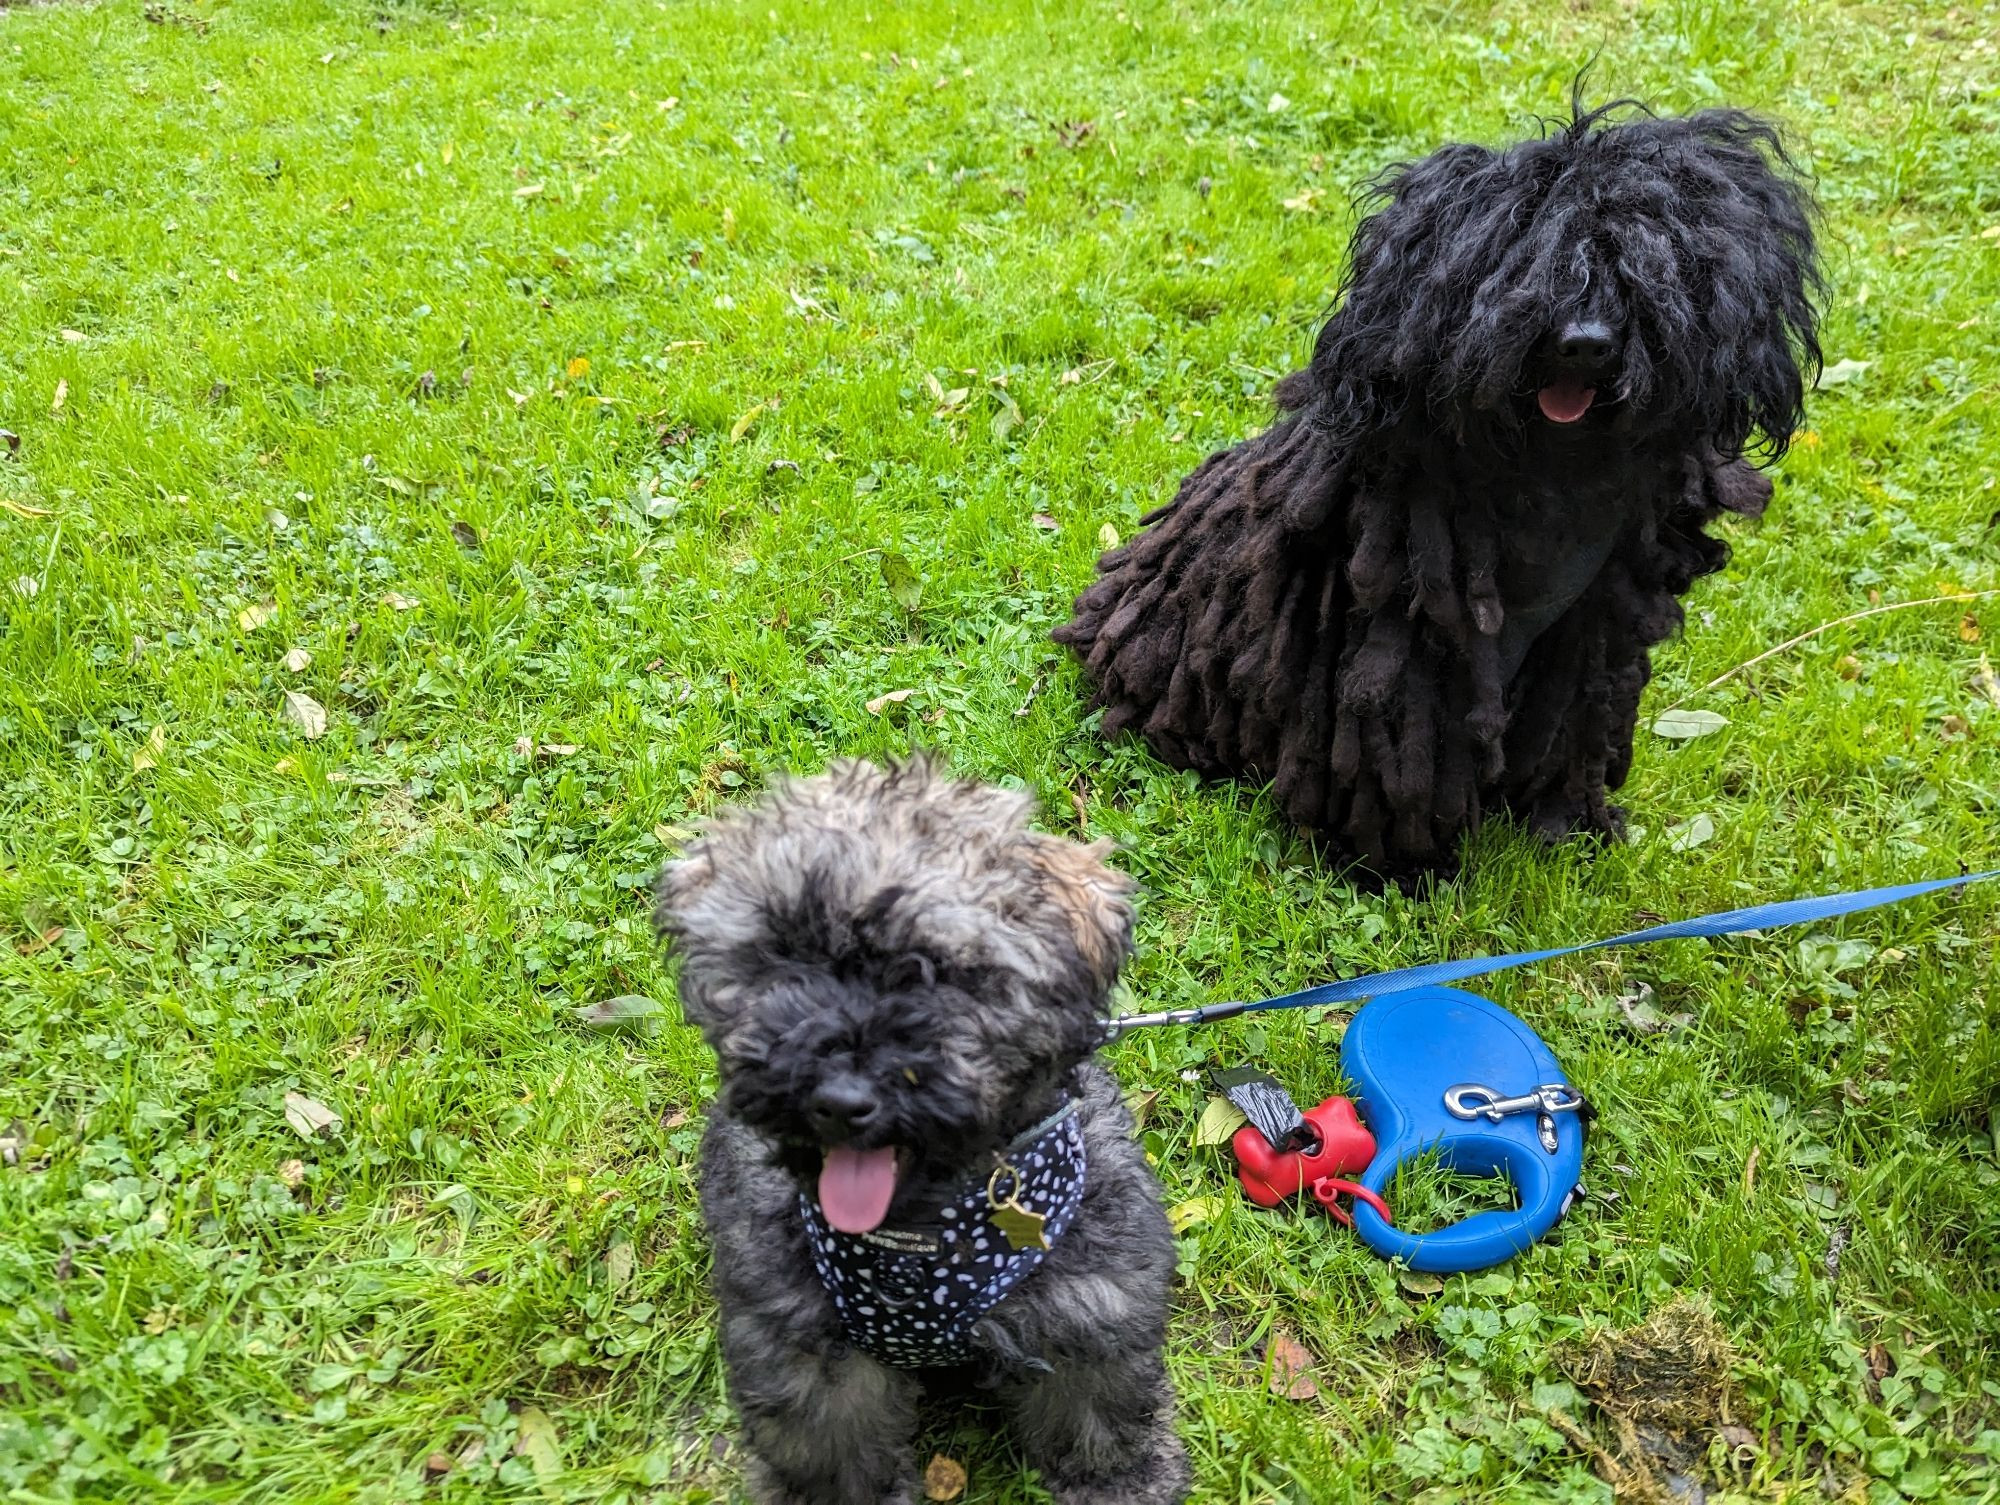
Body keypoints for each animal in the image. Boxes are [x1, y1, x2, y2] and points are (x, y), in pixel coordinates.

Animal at [656, 764, 1184, 1505]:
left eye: (940, 970)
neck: (925, 1233)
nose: (839, 1102)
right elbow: (832, 1451)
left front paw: (1120, 1484)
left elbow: (1098, 1414)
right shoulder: (805, 1351)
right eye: (785, 960)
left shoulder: (1093, 1307)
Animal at [1064, 103, 1832, 880]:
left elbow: (1575, 729)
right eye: (1511, 261)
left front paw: (1569, 826)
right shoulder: (1405, 647)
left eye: (1641, 266)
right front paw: (1399, 868)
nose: (1585, 342)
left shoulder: (1588, 628)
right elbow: (1398, 759)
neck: (1552, 475)